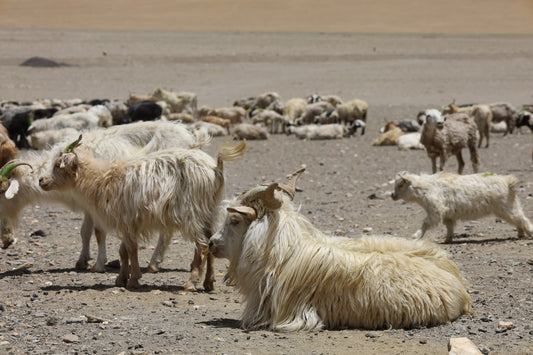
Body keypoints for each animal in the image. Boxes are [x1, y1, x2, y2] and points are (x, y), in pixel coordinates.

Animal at [0, 121, 210, 274]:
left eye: (2, 192)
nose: (6, 240)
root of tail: (193, 139)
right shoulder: (88, 206)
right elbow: (85, 232)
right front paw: (82, 260)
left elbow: (98, 232)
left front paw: (99, 264)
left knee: (166, 232)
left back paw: (153, 264)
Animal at [40, 136, 247, 292]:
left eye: (58, 165)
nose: (41, 180)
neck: (101, 179)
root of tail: (215, 167)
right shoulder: (128, 222)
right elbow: (123, 251)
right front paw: (121, 278)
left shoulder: (127, 219)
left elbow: (131, 250)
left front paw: (133, 279)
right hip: (208, 211)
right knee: (210, 242)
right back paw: (209, 283)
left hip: (191, 213)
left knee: (202, 246)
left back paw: (191, 283)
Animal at [390, 171, 532, 243]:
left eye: (401, 185)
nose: (392, 195)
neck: (426, 187)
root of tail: (509, 181)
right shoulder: (448, 215)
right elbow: (449, 226)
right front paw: (448, 239)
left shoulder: (436, 211)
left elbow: (426, 223)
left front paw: (416, 235)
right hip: (510, 206)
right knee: (519, 219)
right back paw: (520, 234)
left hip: (506, 207)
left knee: (522, 219)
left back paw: (529, 233)